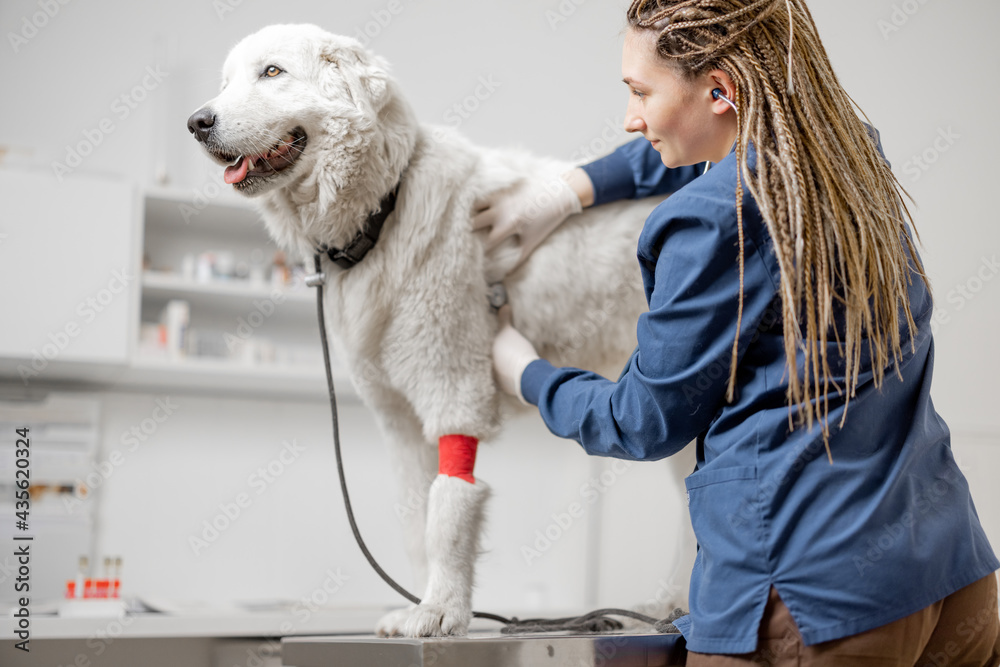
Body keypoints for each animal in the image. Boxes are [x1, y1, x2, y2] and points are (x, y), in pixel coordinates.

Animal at [188, 23, 692, 640]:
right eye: (226, 83)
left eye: (272, 72)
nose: (196, 122)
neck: (385, 208)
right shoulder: (399, 422)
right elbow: (415, 518)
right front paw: (419, 602)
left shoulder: (452, 388)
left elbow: (449, 505)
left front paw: (442, 610)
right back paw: (669, 603)